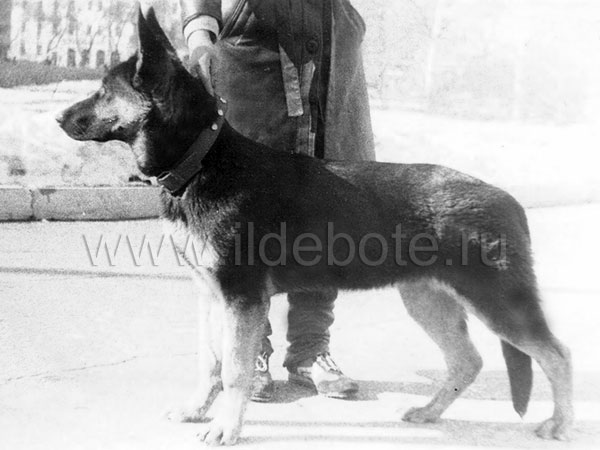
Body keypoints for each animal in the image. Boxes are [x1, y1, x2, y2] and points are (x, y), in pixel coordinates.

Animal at [58, 7, 576, 446]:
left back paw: (559, 424)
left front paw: (225, 427)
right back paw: (429, 413)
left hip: (496, 302)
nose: (58, 116)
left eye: (103, 90)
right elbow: (210, 362)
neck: (202, 160)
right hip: (427, 300)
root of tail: (509, 200)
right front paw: (195, 410)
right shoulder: (210, 294)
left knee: (557, 353)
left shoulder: (241, 298)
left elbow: (234, 370)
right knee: (468, 361)